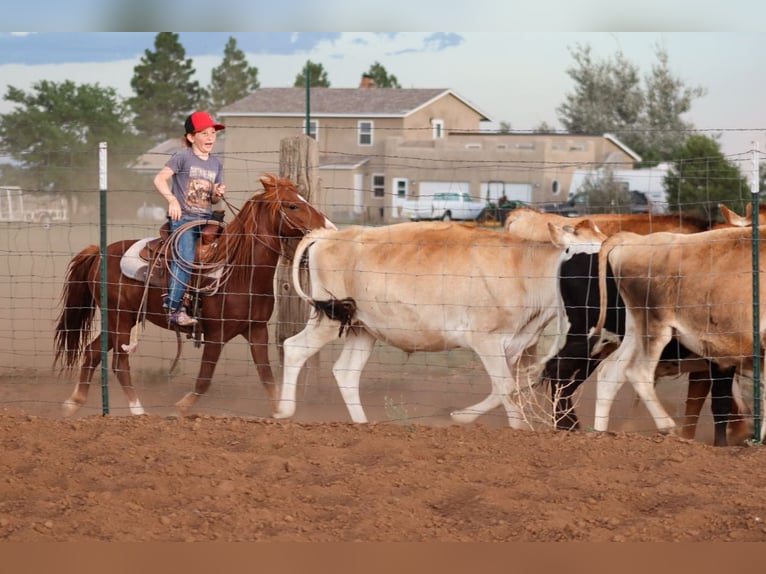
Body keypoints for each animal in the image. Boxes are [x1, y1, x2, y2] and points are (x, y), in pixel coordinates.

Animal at [54, 173, 335, 417]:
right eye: (293, 205)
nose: (329, 227)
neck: (240, 272)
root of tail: (99, 252)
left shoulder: (256, 330)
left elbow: (266, 377)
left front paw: (280, 411)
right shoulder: (216, 335)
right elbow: (204, 378)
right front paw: (180, 408)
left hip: (120, 319)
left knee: (92, 352)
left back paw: (73, 403)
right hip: (119, 318)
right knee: (119, 363)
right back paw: (138, 411)